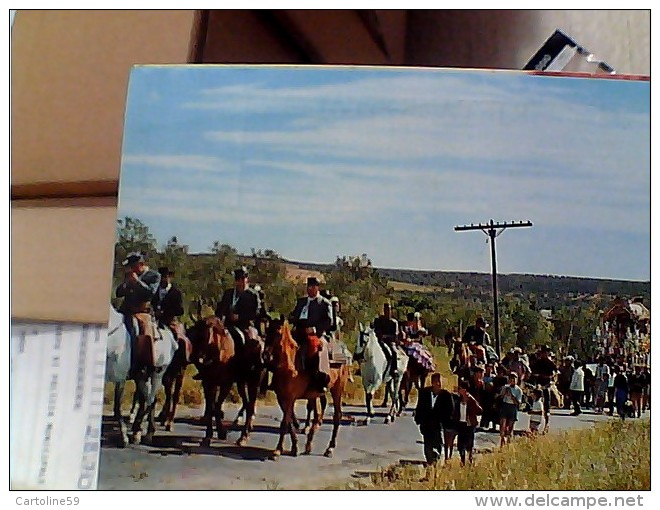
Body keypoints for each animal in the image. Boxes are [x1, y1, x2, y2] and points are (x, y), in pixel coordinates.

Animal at [103, 306, 177, 446]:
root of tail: (171, 337)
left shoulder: (120, 378)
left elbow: (117, 408)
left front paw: (124, 437)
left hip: (157, 375)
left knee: (151, 401)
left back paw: (144, 432)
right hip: (142, 377)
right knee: (148, 400)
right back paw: (139, 431)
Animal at [186, 316, 262, 448]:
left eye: (205, 336)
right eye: (197, 335)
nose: (199, 358)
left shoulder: (226, 384)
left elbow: (216, 406)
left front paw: (221, 432)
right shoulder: (208, 383)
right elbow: (211, 407)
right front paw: (208, 436)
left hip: (253, 382)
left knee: (251, 405)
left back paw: (244, 436)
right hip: (241, 383)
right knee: (247, 403)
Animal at [264, 318, 350, 458]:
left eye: (278, 332)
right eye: (267, 331)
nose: (265, 355)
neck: (290, 367)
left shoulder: (290, 398)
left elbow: (284, 423)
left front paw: (278, 450)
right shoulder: (282, 399)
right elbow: (289, 422)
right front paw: (294, 447)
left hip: (337, 389)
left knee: (337, 416)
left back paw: (330, 448)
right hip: (316, 394)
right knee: (317, 414)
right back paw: (309, 444)